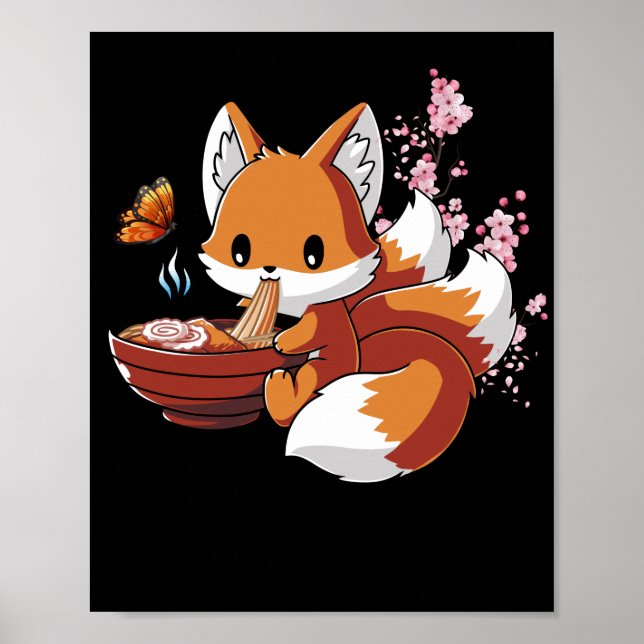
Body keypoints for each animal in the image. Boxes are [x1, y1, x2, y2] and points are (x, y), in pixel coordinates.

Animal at [200, 102, 516, 482]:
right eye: (240, 251)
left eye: (314, 254)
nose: (270, 269)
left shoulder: (323, 317)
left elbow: (307, 332)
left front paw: (282, 340)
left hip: (317, 372)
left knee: (295, 399)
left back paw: (278, 391)